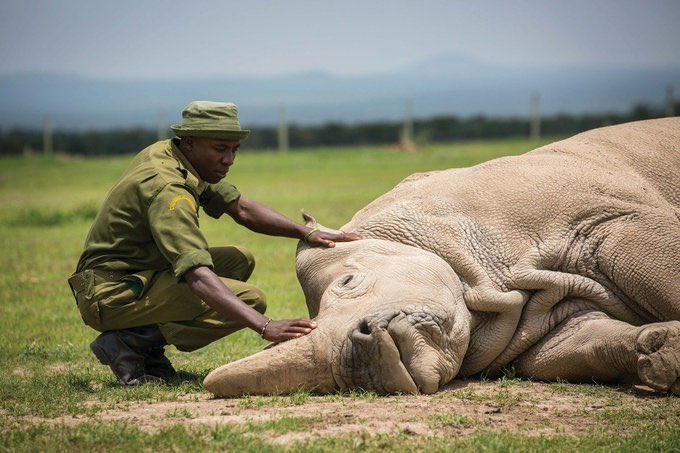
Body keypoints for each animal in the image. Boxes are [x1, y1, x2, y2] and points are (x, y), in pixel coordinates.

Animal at [204, 118, 680, 397]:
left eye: (348, 282)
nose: (360, 367)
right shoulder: (546, 318)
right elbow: (583, 343)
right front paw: (663, 355)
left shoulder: (610, 220)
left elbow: (664, 273)